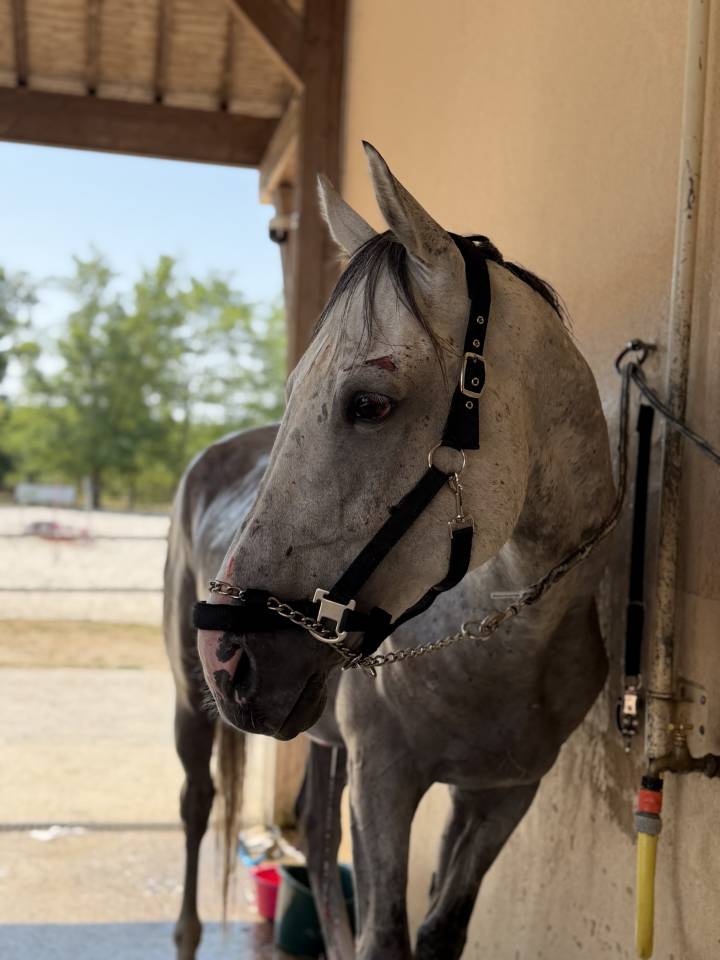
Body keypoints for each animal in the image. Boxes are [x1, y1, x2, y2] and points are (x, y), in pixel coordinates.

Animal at [192, 142, 616, 960]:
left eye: (369, 404)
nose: (228, 661)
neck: (498, 634)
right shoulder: (385, 783)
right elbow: (384, 935)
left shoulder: (500, 794)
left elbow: (439, 928)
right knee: (198, 805)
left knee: (318, 840)